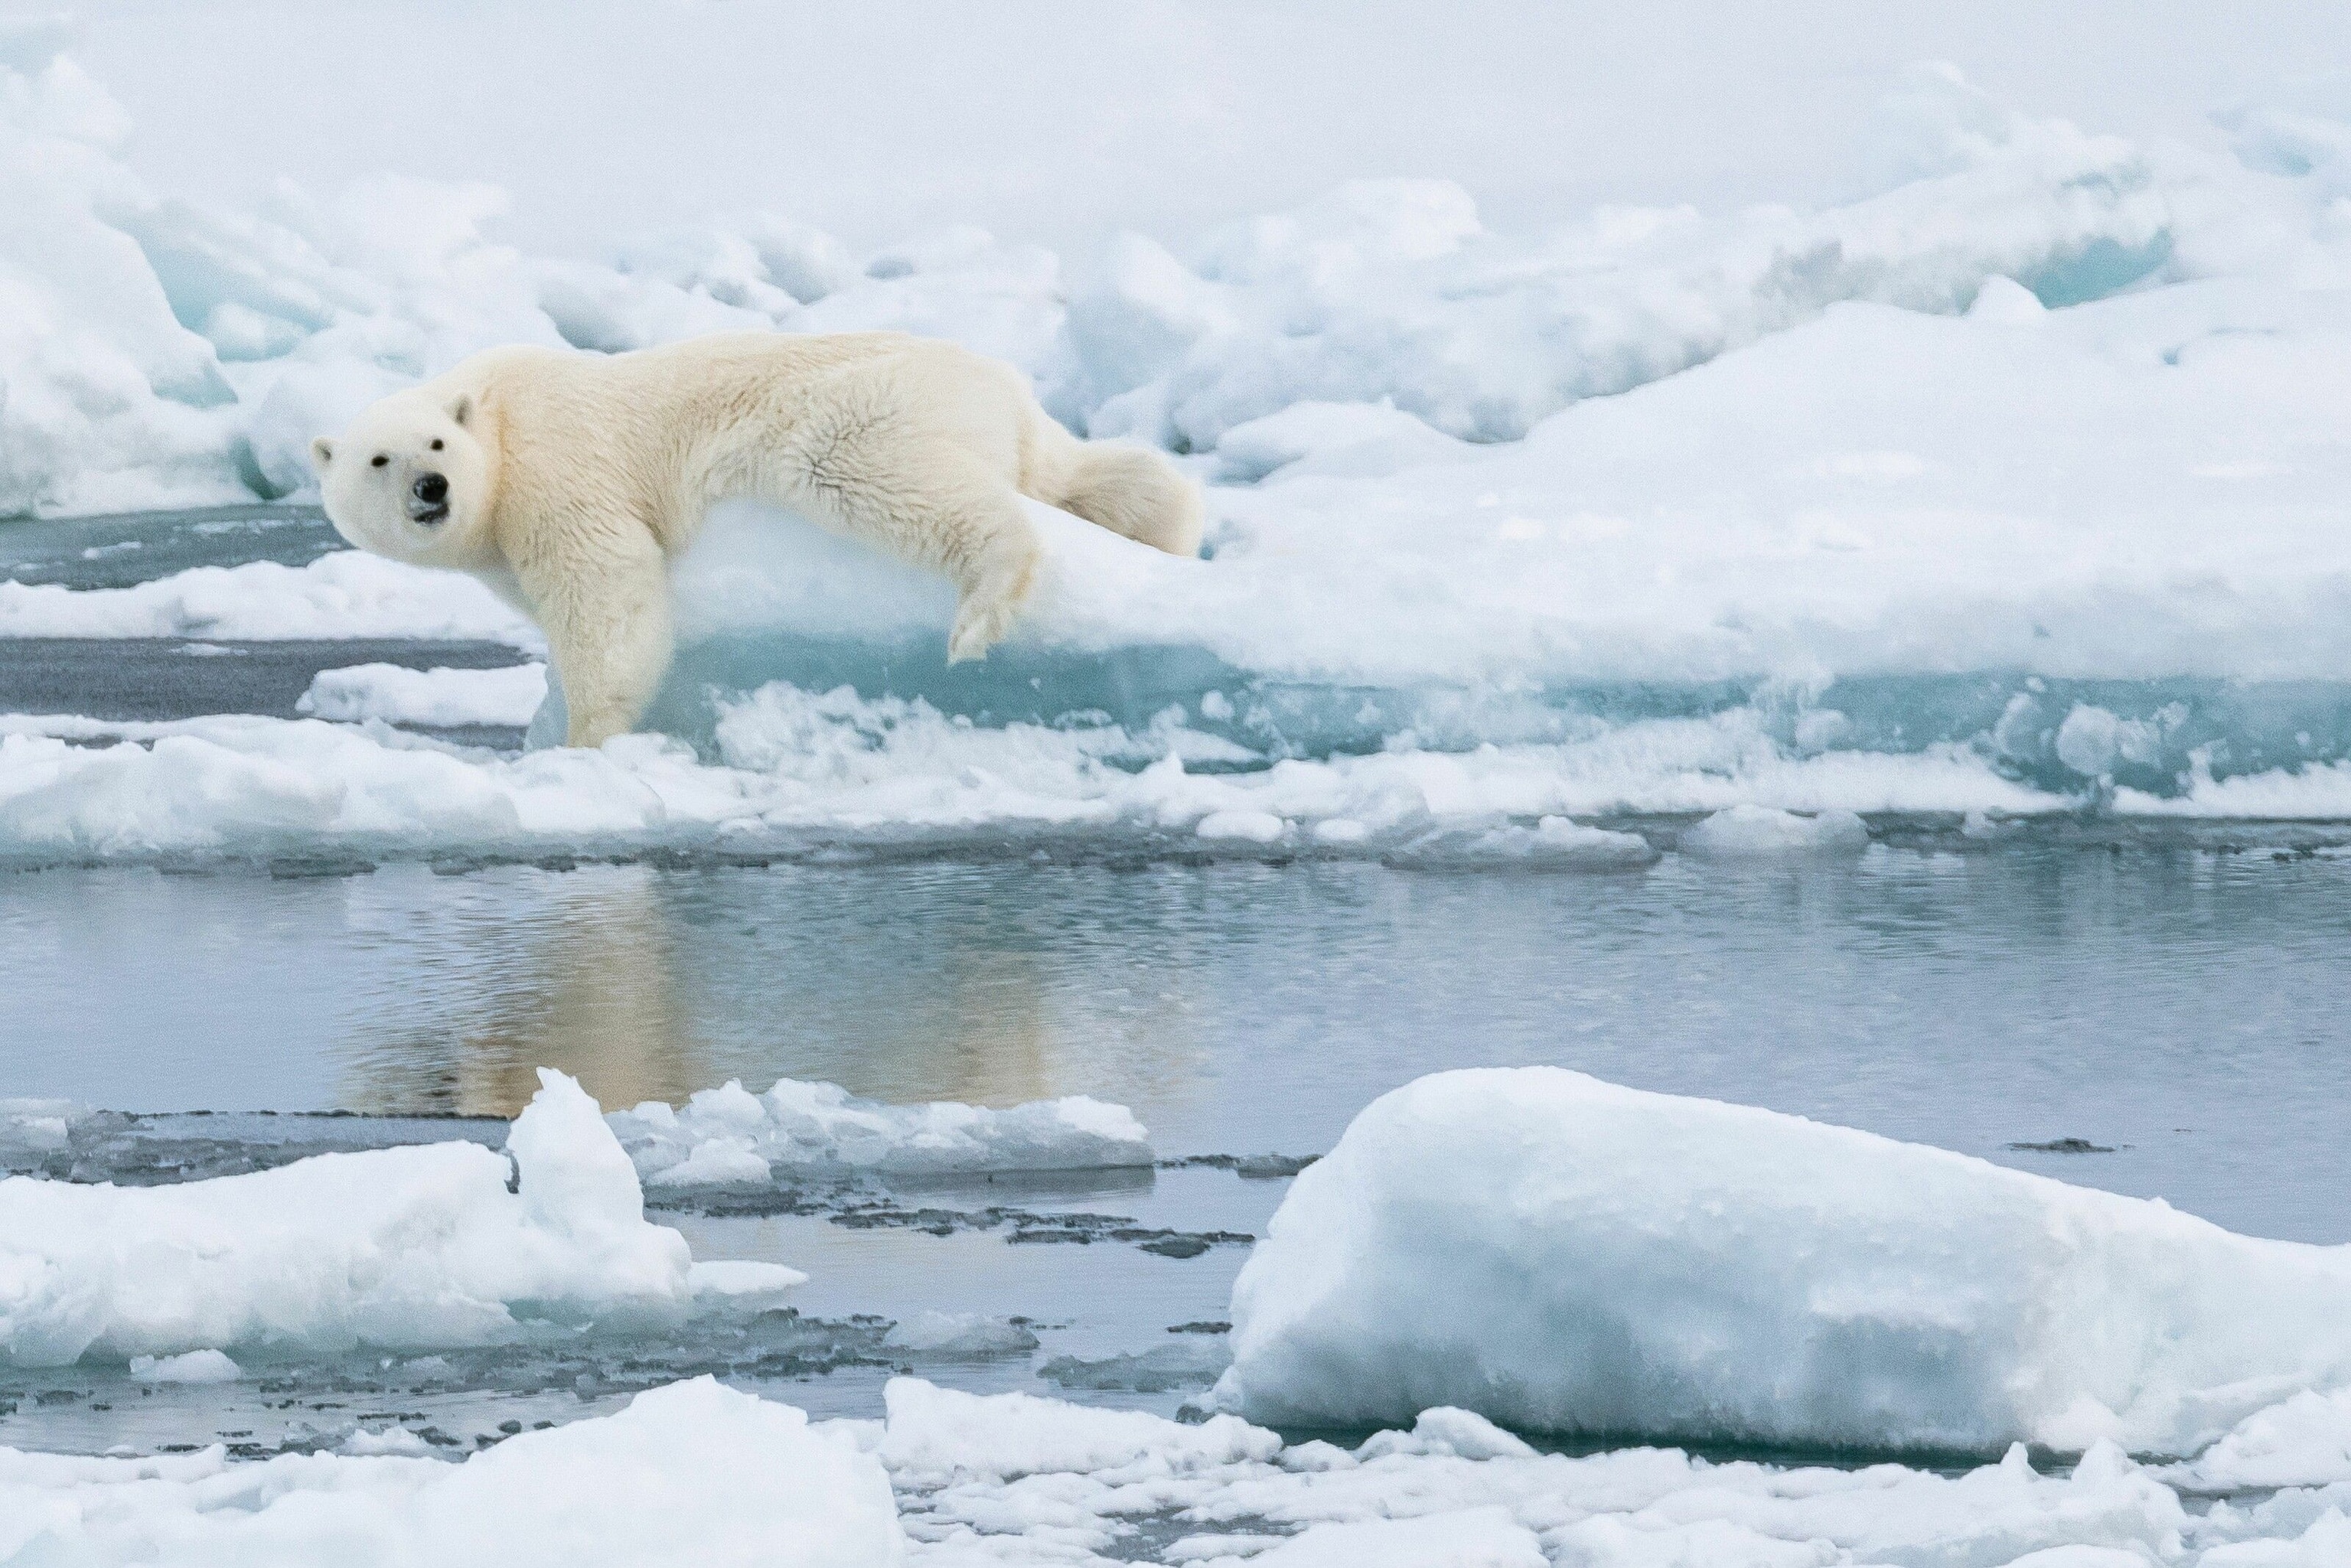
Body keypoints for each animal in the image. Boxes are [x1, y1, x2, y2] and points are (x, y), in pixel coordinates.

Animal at [310, 331, 1202, 747]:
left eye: (436, 444)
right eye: (380, 459)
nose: (432, 489)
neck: (494, 418)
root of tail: (1003, 384)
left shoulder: (558, 465)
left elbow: (607, 584)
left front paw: (585, 739)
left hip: (862, 407)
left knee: (875, 475)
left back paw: (982, 611)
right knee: (1088, 476)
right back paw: (1172, 526)